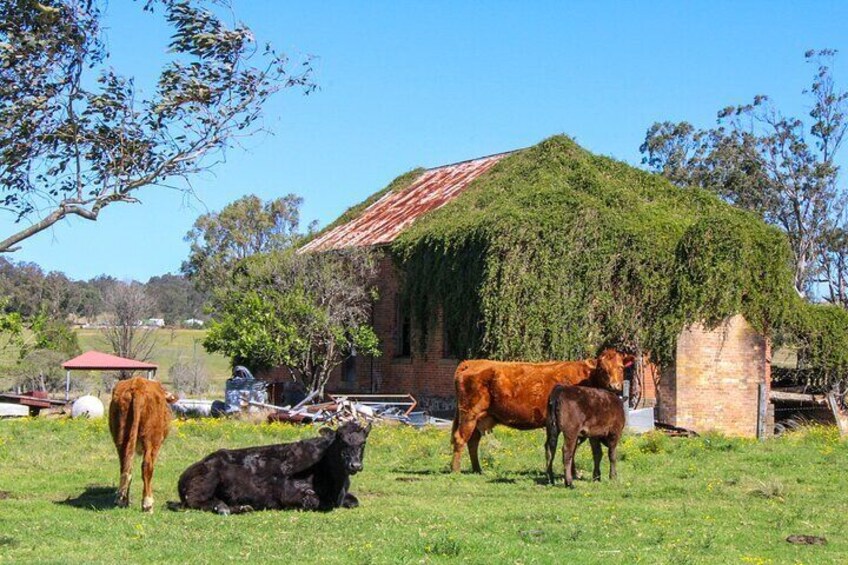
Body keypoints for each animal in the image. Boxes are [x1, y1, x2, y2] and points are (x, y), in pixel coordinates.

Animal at [174, 420, 370, 512]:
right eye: (341, 440)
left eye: (363, 443)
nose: (355, 465)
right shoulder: (288, 493)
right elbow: (313, 501)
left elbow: (354, 501)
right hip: (206, 482)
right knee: (195, 501)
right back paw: (223, 508)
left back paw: (242, 508)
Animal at [450, 348, 628, 472]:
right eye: (602, 369)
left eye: (620, 368)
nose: (615, 386)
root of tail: (471, 362)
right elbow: (572, 449)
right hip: (469, 414)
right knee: (460, 439)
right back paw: (456, 470)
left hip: (479, 417)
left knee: (473, 441)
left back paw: (478, 469)